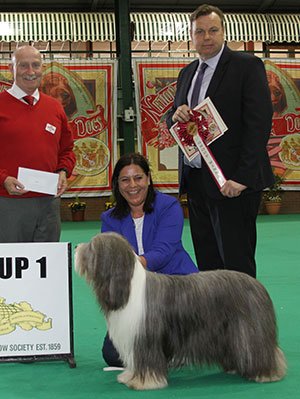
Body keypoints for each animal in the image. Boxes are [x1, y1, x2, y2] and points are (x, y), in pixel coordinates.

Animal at [74, 231, 286, 390]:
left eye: (92, 246)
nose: (76, 247)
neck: (128, 287)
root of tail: (257, 285)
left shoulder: (145, 338)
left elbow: (147, 361)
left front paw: (145, 382)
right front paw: (128, 376)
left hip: (249, 331)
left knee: (259, 350)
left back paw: (266, 373)